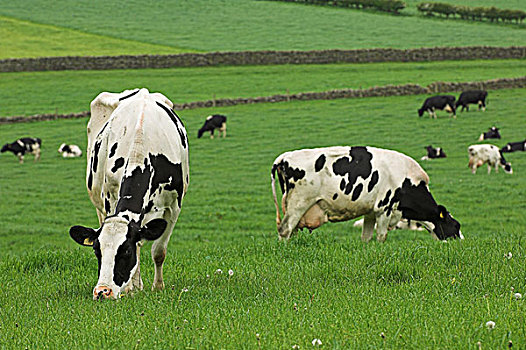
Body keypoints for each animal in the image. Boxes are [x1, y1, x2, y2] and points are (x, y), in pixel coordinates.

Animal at [69, 89, 190, 300]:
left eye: (125, 251)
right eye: (96, 251)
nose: (103, 291)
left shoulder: (173, 207)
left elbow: (159, 251)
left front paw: (158, 286)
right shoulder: (110, 200)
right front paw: (130, 288)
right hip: (98, 203)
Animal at [272, 146, 462, 242]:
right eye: (456, 226)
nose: (461, 242)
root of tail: (284, 157)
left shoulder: (371, 211)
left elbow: (366, 237)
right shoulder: (384, 208)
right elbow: (381, 236)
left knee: (292, 230)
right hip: (299, 203)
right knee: (285, 229)